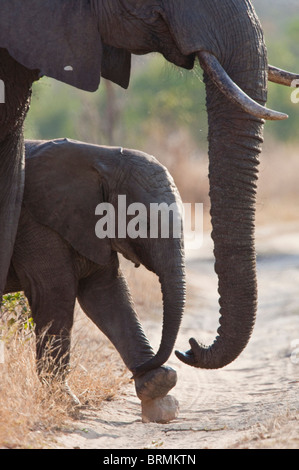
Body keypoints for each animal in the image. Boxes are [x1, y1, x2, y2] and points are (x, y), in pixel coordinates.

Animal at [0, 0, 298, 374]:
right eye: (142, 224)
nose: (190, 348)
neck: (102, 159)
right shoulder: (41, 230)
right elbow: (54, 295)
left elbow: (106, 293)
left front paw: (155, 379)